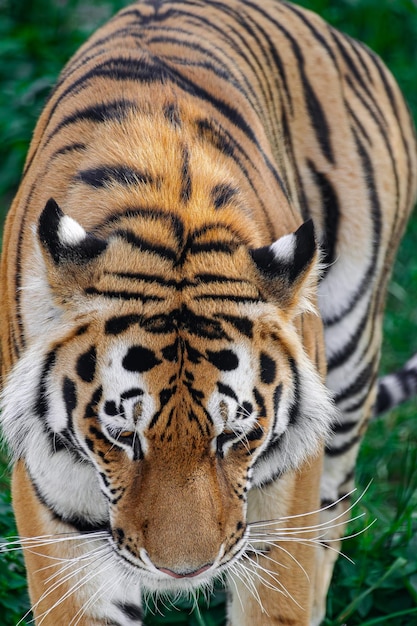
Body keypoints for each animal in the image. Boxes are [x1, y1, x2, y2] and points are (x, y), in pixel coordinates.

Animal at [0, 1, 414, 624]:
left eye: (235, 436)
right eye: (122, 435)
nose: (184, 572)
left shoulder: (284, 503)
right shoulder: (57, 512)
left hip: (349, 363)